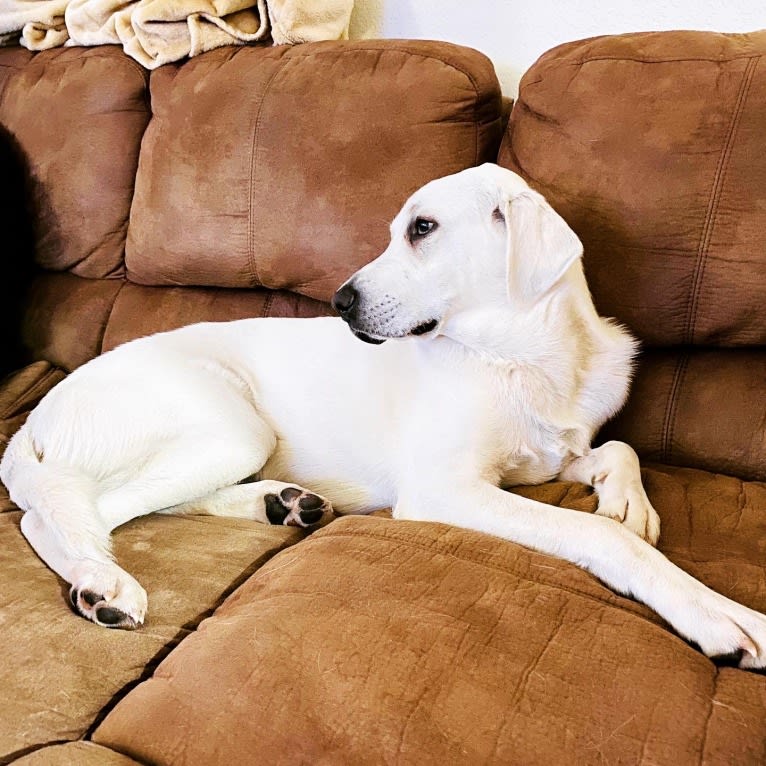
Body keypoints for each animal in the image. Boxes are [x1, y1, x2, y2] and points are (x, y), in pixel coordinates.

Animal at [1, 165, 766, 668]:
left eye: (423, 228)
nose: (339, 302)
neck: (521, 355)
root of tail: (35, 419)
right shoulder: (444, 488)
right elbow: (601, 538)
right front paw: (716, 612)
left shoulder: (542, 458)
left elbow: (617, 453)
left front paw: (628, 501)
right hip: (231, 426)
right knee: (61, 514)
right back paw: (100, 584)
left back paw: (283, 504)